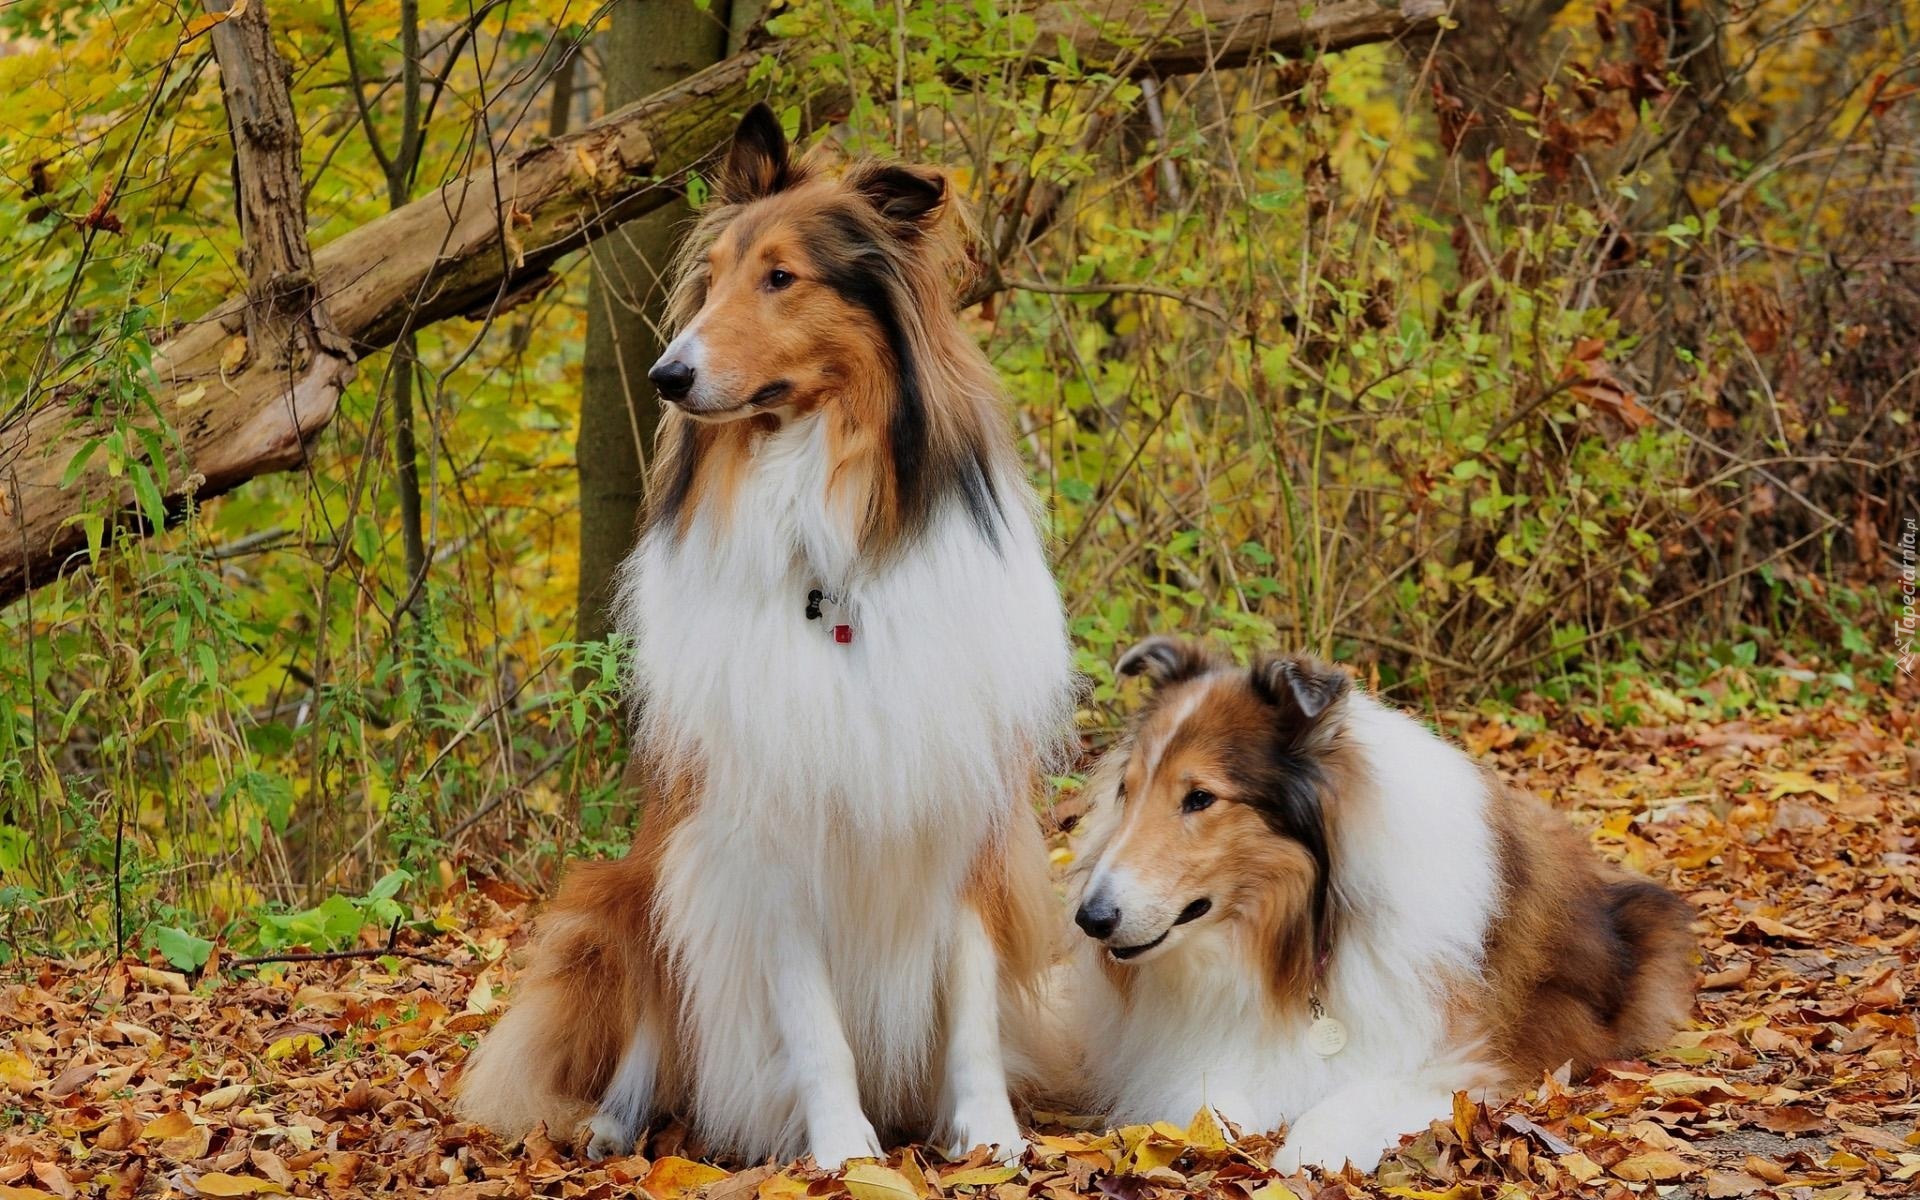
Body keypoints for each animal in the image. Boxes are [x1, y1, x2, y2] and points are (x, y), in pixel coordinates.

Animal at [456, 107, 1075, 1167]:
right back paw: (615, 1126)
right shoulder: (765, 835)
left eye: (782, 277)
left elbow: (973, 1000)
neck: (831, 556)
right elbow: (813, 1019)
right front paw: (845, 1154)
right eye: (713, 279)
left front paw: (988, 1136)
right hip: (624, 895)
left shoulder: (965, 807)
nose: (667, 375)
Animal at [1067, 637, 1697, 1167]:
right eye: (1127, 791)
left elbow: (1342, 1108)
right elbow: (1209, 1101)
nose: (1090, 919)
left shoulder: (1461, 1058)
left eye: (1200, 797)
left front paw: (1301, 1154)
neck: (1302, 934)